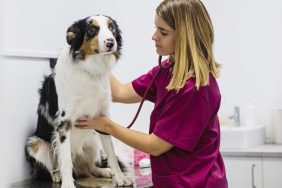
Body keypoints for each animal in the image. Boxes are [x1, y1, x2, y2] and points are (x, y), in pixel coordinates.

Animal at [25, 15, 133, 188]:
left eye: (111, 28)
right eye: (91, 29)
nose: (111, 42)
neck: (89, 69)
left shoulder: (103, 118)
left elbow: (111, 154)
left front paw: (120, 178)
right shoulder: (64, 122)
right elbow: (66, 162)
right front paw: (68, 184)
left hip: (92, 140)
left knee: (89, 168)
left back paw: (103, 171)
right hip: (34, 144)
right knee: (56, 166)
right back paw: (58, 176)